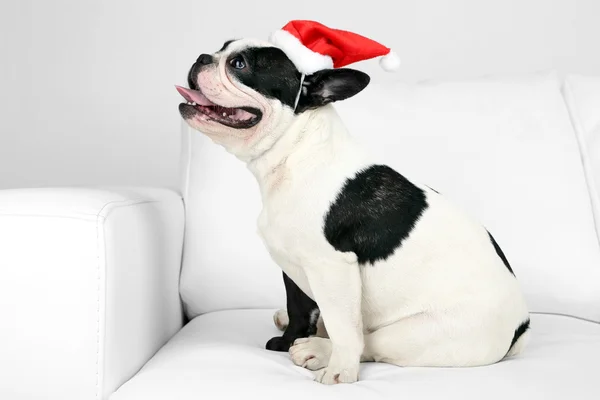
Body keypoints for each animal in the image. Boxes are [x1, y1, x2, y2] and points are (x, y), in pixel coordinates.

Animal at [177, 39, 528, 386]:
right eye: (222, 48)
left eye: (240, 65)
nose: (202, 57)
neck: (297, 153)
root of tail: (520, 327)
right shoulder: (292, 266)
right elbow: (299, 308)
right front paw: (288, 338)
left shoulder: (331, 267)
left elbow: (344, 328)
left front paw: (339, 370)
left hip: (420, 333)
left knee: (367, 340)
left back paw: (318, 350)